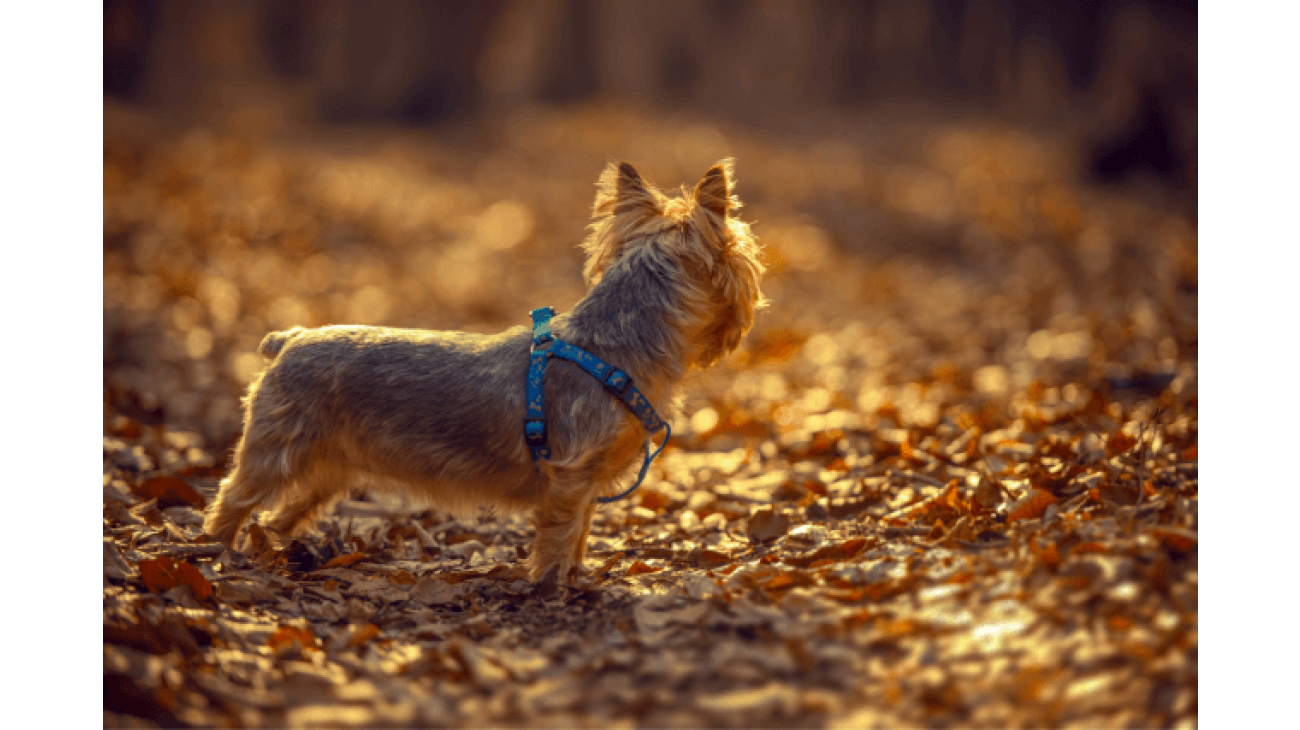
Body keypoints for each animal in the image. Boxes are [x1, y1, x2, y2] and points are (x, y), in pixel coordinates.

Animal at [202, 159, 764, 579]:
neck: (615, 345)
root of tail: (290, 339)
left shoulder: (586, 482)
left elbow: (580, 532)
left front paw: (576, 578)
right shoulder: (570, 474)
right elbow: (561, 535)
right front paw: (553, 587)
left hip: (329, 469)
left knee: (282, 513)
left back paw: (274, 550)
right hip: (277, 448)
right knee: (233, 499)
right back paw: (214, 551)